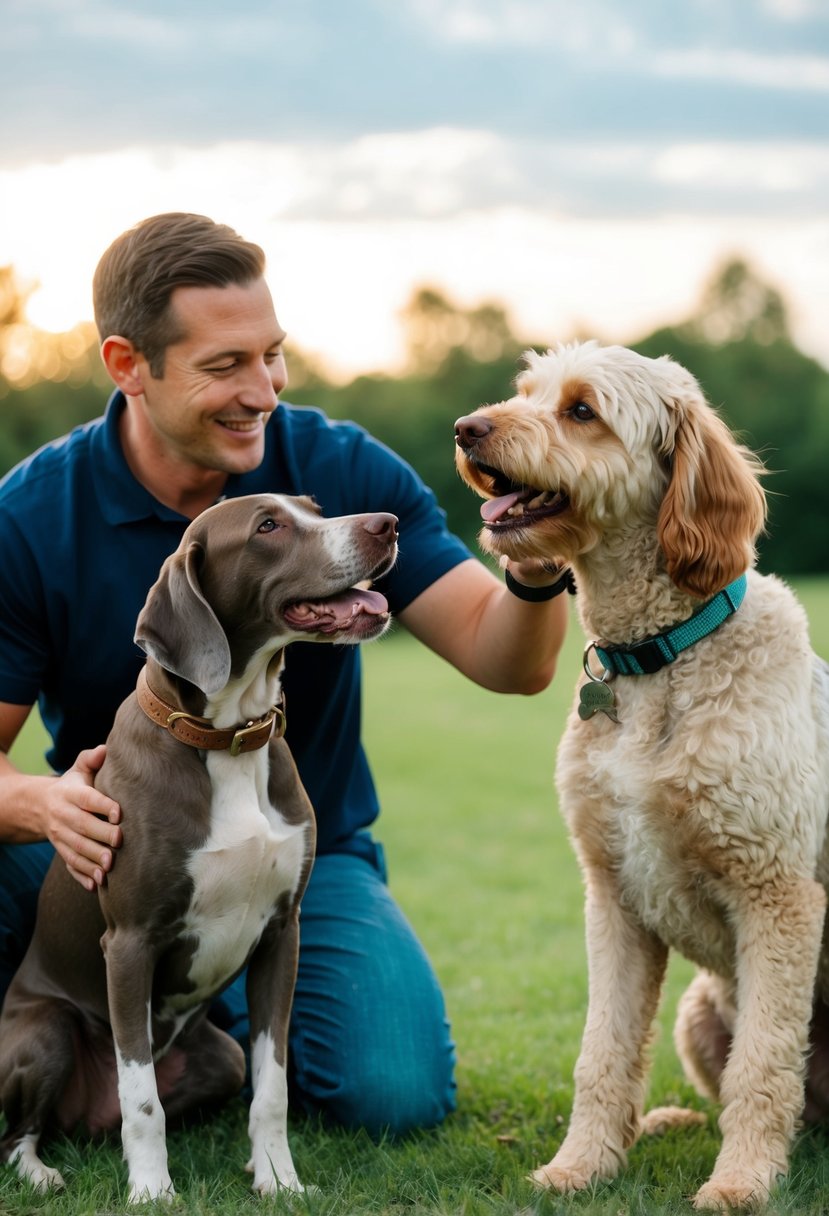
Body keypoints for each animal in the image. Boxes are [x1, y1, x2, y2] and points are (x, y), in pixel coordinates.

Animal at [0, 493, 396, 1206]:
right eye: (268, 526)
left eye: (314, 507)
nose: (388, 524)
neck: (228, 736)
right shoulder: (129, 943)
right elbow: (141, 1098)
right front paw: (152, 1191)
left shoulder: (281, 935)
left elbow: (272, 1086)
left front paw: (278, 1179)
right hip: (45, 1031)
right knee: (25, 1130)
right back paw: (42, 1171)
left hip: (218, 1056)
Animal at [454, 342, 826, 1216]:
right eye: (527, 392)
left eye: (581, 410)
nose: (466, 428)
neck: (658, 657)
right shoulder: (614, 897)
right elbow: (603, 1052)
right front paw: (580, 1166)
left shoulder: (778, 895)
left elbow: (764, 1065)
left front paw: (740, 1183)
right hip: (697, 1012)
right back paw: (668, 1123)